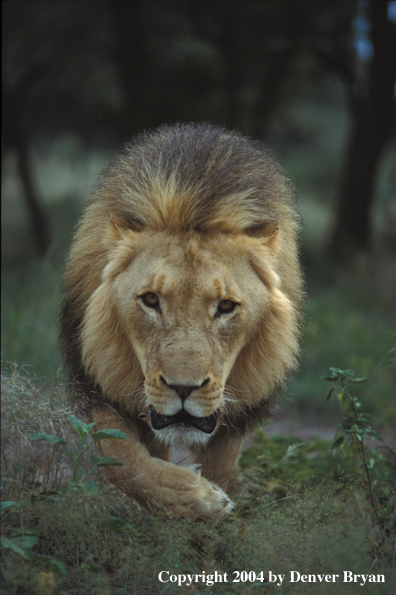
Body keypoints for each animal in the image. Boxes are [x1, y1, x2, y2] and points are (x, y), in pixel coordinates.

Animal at [59, 124, 304, 516]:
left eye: (226, 306)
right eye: (150, 300)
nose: (184, 389)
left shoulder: (239, 405)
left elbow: (221, 462)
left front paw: (220, 503)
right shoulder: (100, 383)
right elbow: (125, 462)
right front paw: (198, 500)